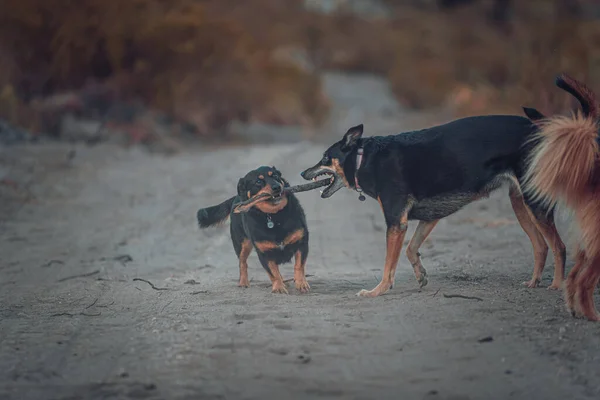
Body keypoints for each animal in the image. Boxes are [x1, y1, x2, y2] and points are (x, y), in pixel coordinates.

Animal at [198, 166, 312, 294]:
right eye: (258, 182)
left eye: (275, 176)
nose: (277, 187)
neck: (273, 216)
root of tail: (236, 198)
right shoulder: (264, 253)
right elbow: (273, 273)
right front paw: (278, 287)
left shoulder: (301, 243)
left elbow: (299, 266)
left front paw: (301, 283)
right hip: (242, 244)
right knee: (242, 263)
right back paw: (243, 282)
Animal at [300, 115, 568, 296]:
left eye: (325, 158)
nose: (303, 172)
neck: (363, 158)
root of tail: (539, 129)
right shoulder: (429, 216)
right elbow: (411, 249)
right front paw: (420, 275)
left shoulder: (396, 222)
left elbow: (388, 264)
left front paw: (378, 290)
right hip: (520, 204)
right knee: (541, 246)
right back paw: (534, 282)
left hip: (534, 202)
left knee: (559, 246)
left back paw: (556, 285)